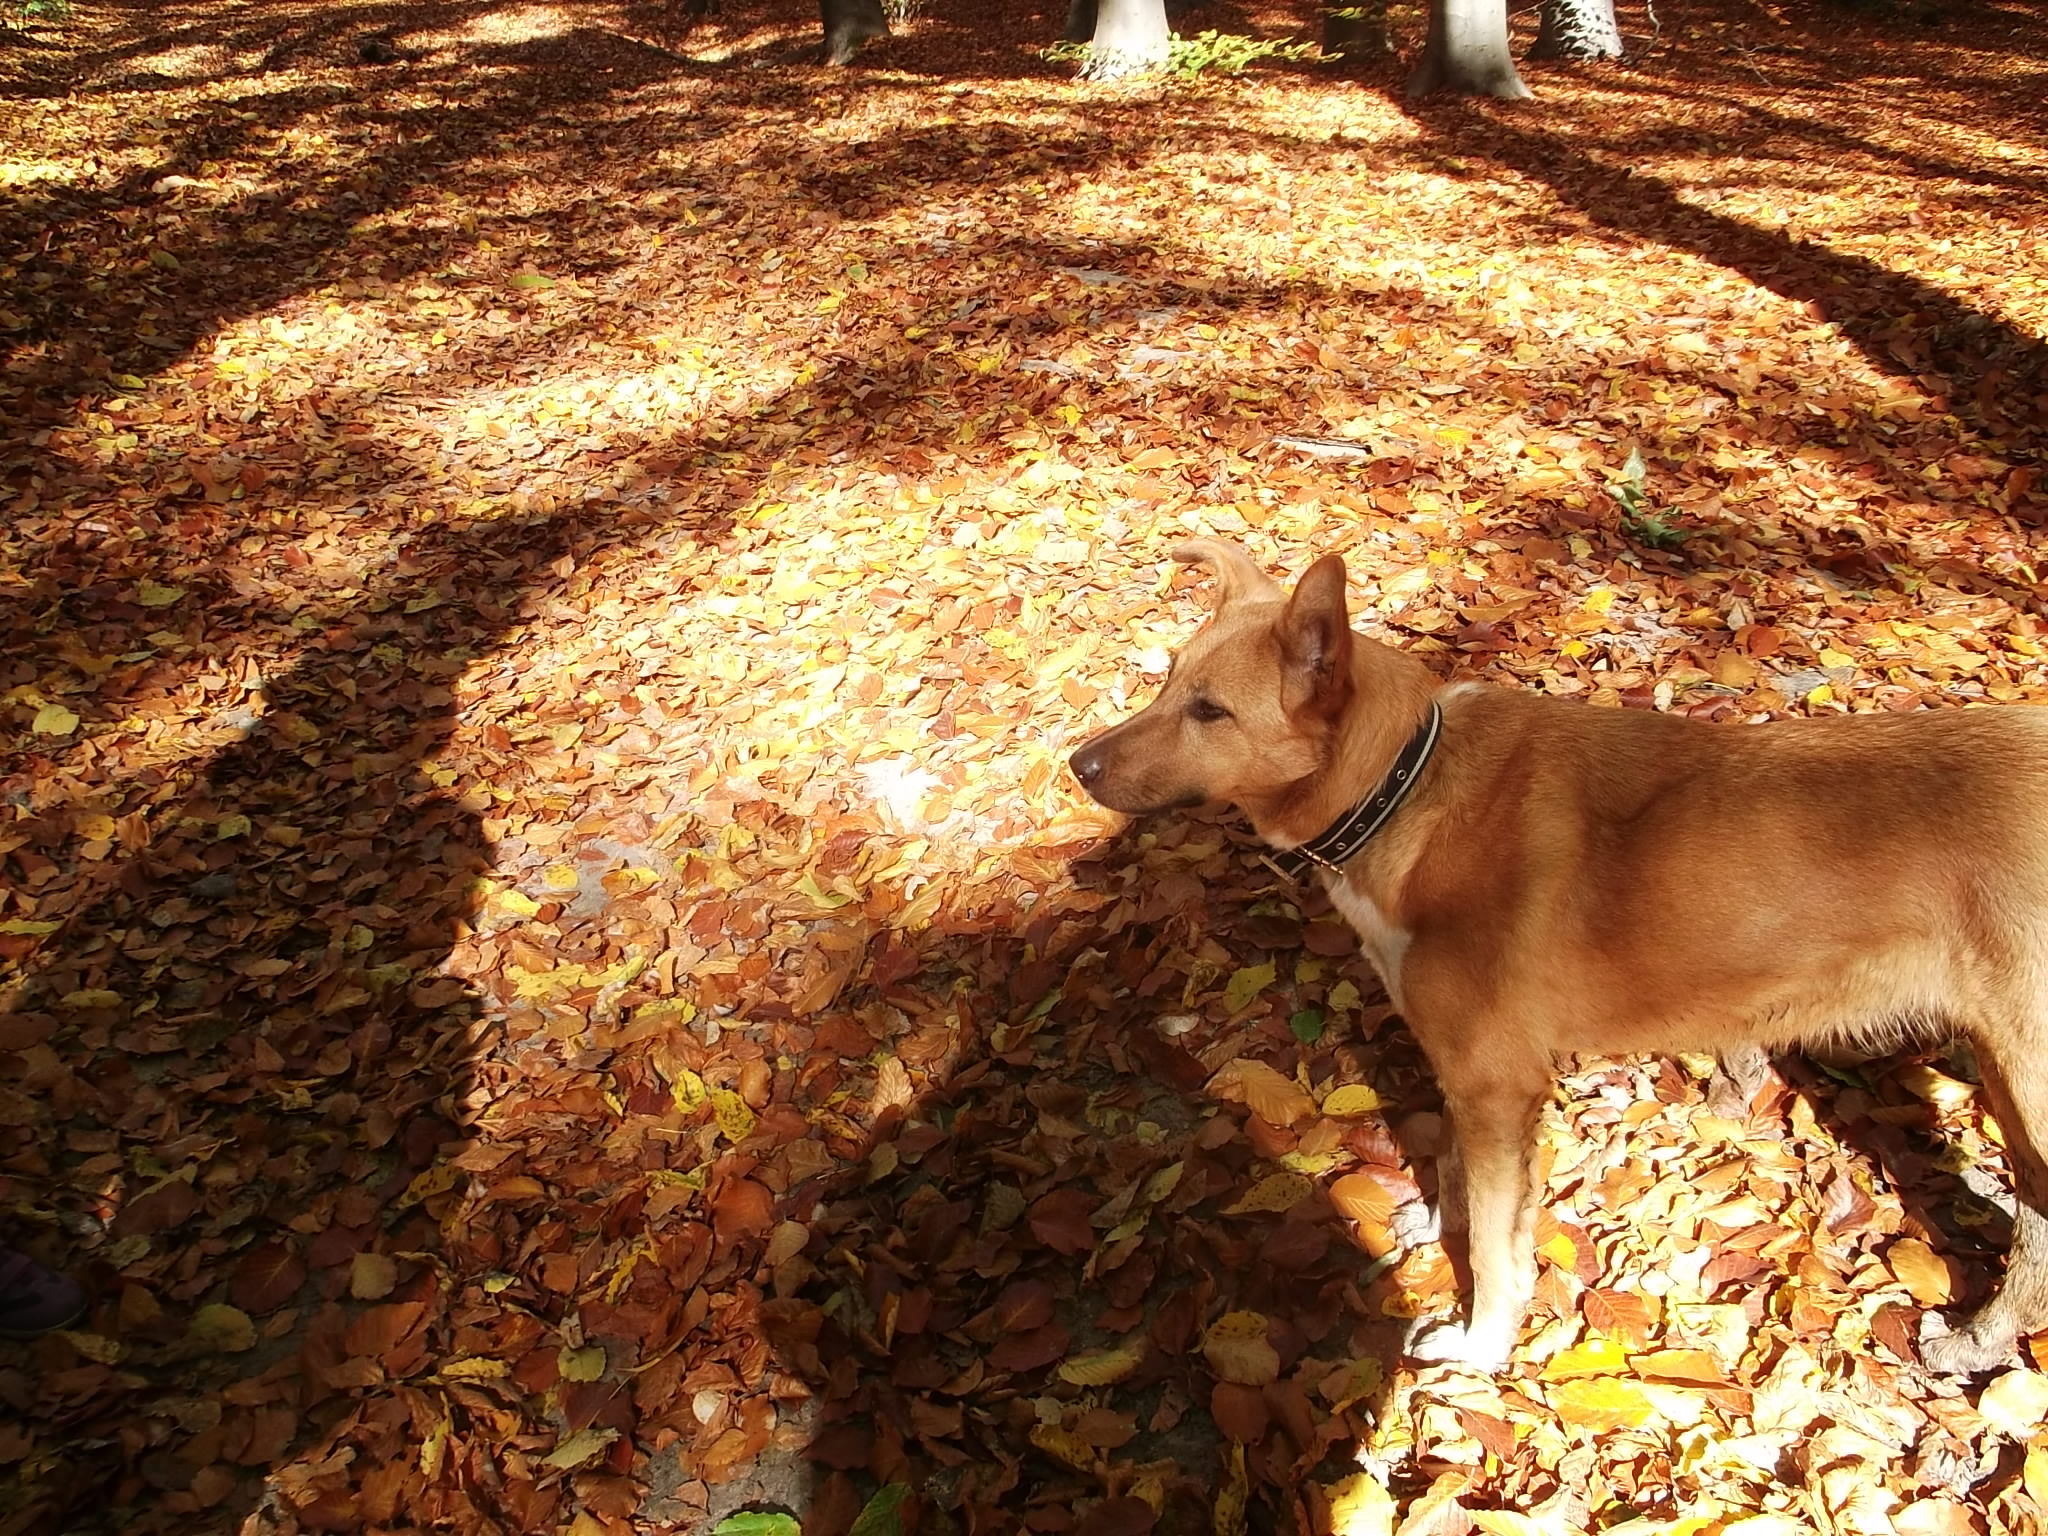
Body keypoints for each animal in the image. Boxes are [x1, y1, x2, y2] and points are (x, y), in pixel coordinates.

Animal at [1073, 544, 2048, 1384]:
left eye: (1210, 711)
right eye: (1168, 683)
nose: (1077, 765)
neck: (1405, 788)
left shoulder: (1495, 1083)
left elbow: (1496, 1244)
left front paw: (1481, 1345)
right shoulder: (1476, 1082)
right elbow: (1463, 1176)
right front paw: (1440, 1219)